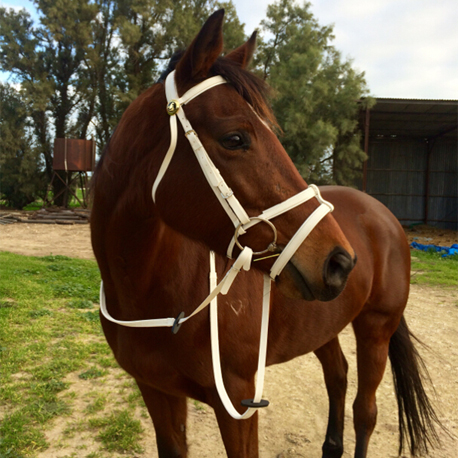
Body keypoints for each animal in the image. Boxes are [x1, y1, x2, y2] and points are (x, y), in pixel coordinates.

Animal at [90, 10, 444, 458]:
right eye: (235, 138)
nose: (339, 262)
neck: (158, 298)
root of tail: (383, 214)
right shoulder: (157, 392)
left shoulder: (238, 405)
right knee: (338, 376)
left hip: (376, 329)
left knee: (365, 412)